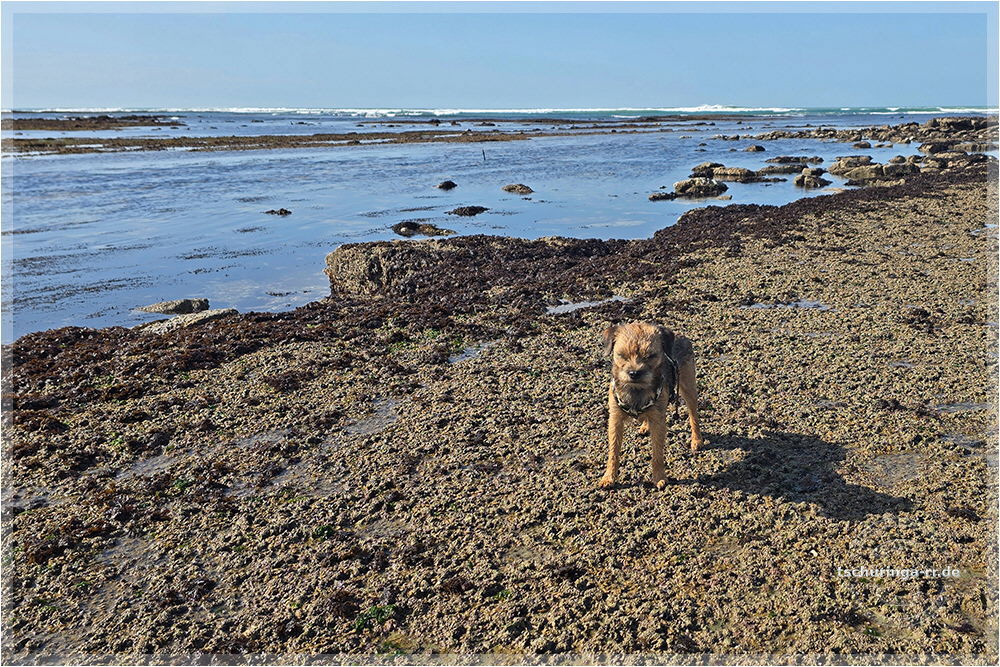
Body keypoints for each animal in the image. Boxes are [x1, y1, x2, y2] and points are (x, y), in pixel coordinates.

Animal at [598, 321, 704, 489]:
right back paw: (645, 426)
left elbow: (657, 452)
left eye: (650, 356)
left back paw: (696, 440)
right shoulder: (615, 419)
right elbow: (613, 451)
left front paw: (659, 477)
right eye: (622, 355)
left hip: (688, 387)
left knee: (694, 416)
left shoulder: (658, 421)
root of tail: (680, 336)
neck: (637, 389)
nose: (634, 373)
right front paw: (608, 477)